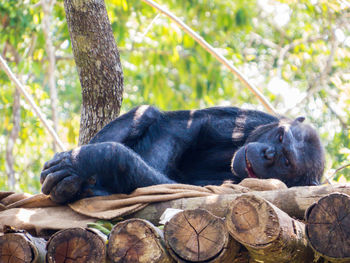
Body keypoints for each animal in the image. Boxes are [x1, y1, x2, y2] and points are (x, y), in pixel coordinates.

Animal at [39, 105, 324, 204]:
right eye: (280, 137)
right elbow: (183, 127)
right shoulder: (250, 120)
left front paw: (94, 159)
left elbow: (178, 186)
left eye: (285, 161)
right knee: (149, 112)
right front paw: (80, 162)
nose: (268, 153)